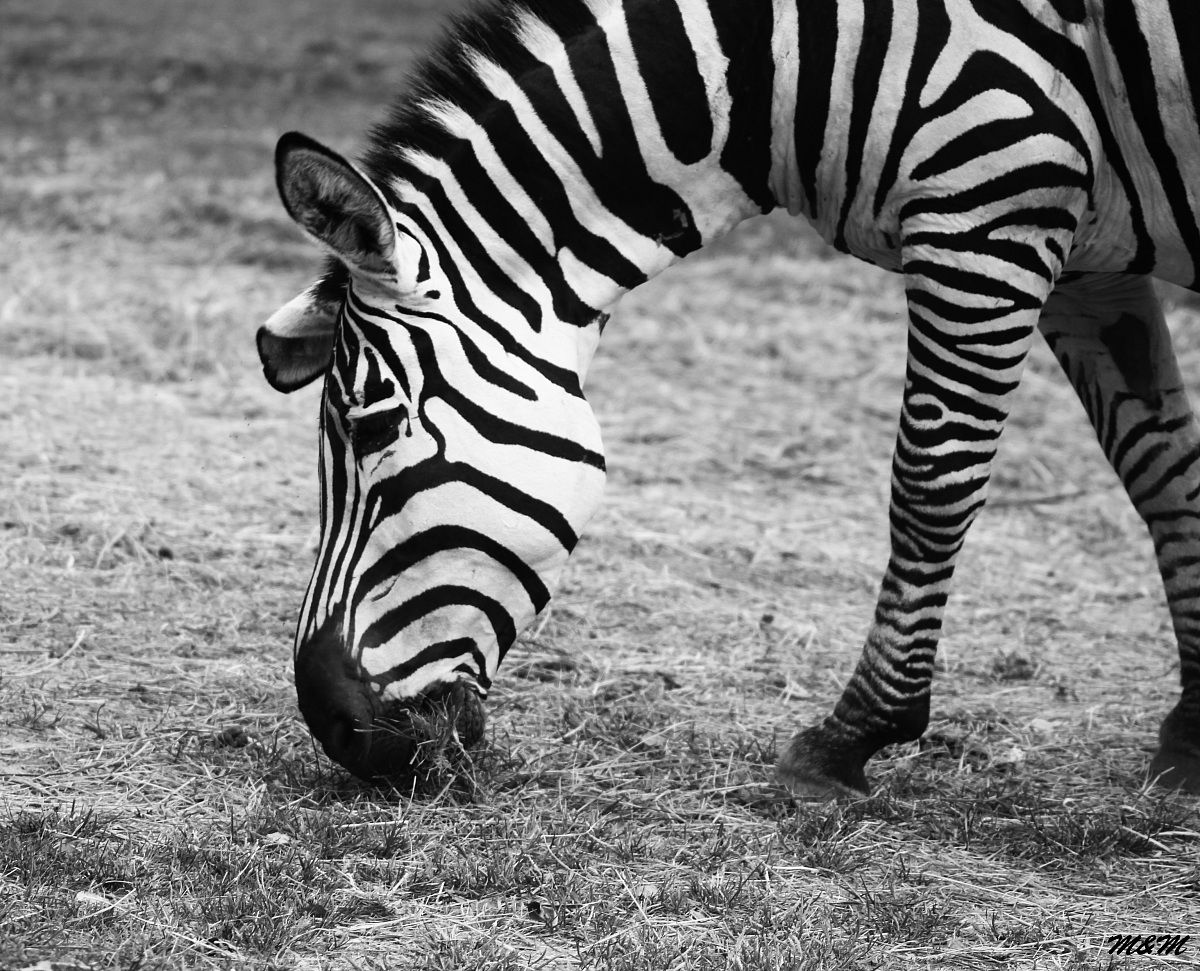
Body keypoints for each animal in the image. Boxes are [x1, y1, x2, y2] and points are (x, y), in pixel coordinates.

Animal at [258, 0, 1200, 796]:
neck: (782, 58)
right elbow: (1161, 469)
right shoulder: (1079, 255)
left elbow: (931, 484)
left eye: (371, 426)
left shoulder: (992, 200)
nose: (332, 727)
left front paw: (852, 736)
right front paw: (1192, 732)